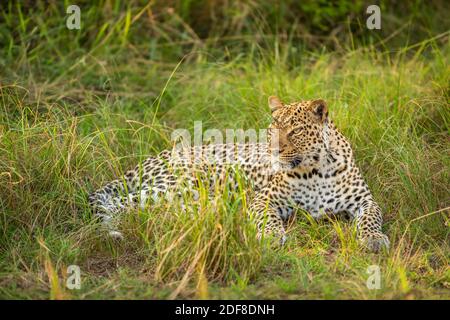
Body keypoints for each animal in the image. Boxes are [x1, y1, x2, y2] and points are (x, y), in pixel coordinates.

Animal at [89, 95, 390, 252]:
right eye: (272, 129)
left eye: (294, 131)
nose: (273, 150)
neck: (316, 171)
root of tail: (153, 158)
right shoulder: (266, 199)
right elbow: (267, 217)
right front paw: (271, 236)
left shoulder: (365, 200)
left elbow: (372, 217)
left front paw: (373, 239)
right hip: (180, 185)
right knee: (116, 204)